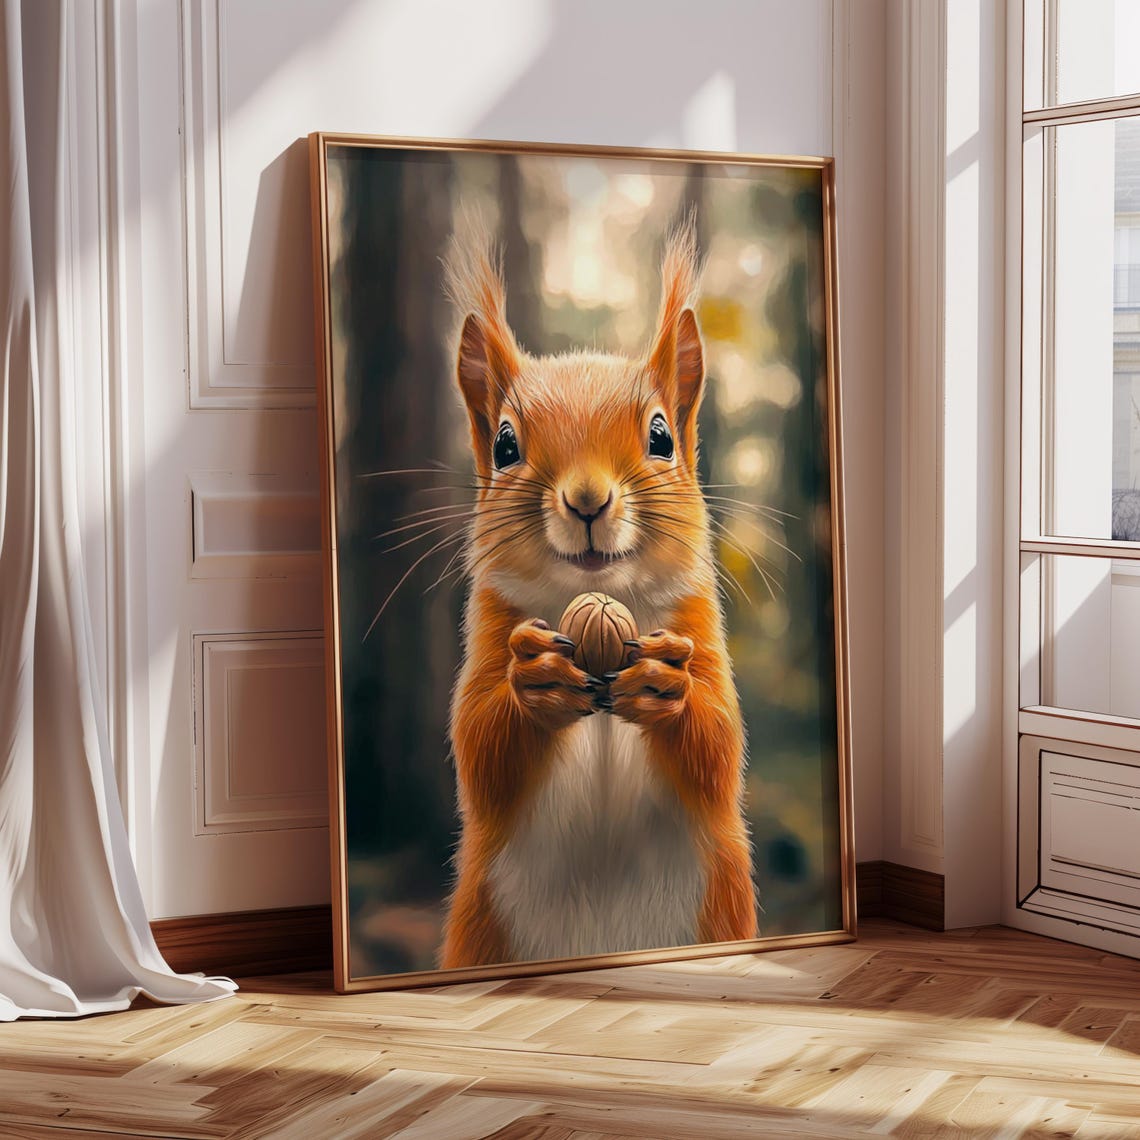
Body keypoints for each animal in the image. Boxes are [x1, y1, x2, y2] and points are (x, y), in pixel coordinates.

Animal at [439, 220, 756, 969]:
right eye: (504, 444)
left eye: (662, 435)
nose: (587, 499)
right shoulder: (491, 626)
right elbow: (480, 747)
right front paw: (536, 681)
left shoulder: (698, 623)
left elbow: (720, 746)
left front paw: (668, 687)